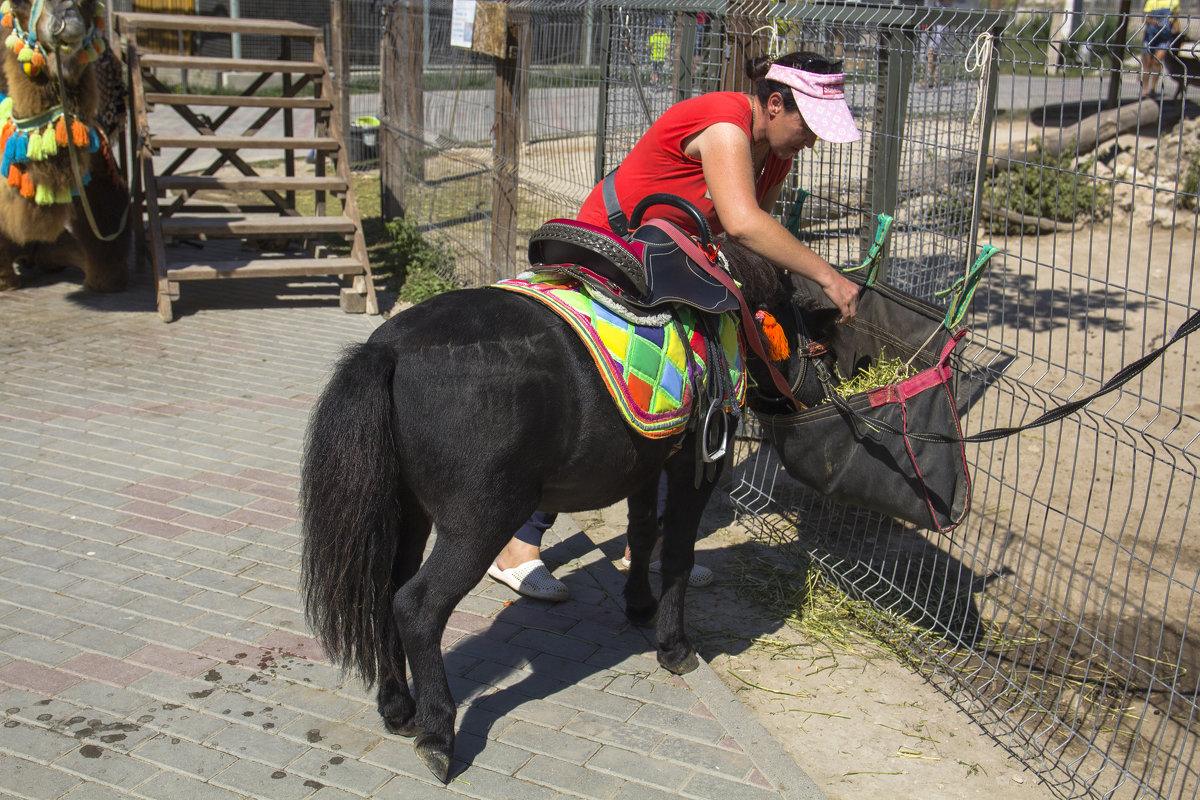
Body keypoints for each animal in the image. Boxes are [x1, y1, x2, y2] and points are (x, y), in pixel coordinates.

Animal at [300, 242, 835, 782]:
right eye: (818, 331)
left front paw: (639, 605)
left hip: (410, 512)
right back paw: (437, 736)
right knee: (416, 606)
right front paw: (674, 647)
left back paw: (398, 708)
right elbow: (678, 555)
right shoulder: (694, 466)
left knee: (384, 592)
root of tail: (389, 350)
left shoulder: (647, 466)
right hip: (479, 525)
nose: (817, 397)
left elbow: (643, 533)